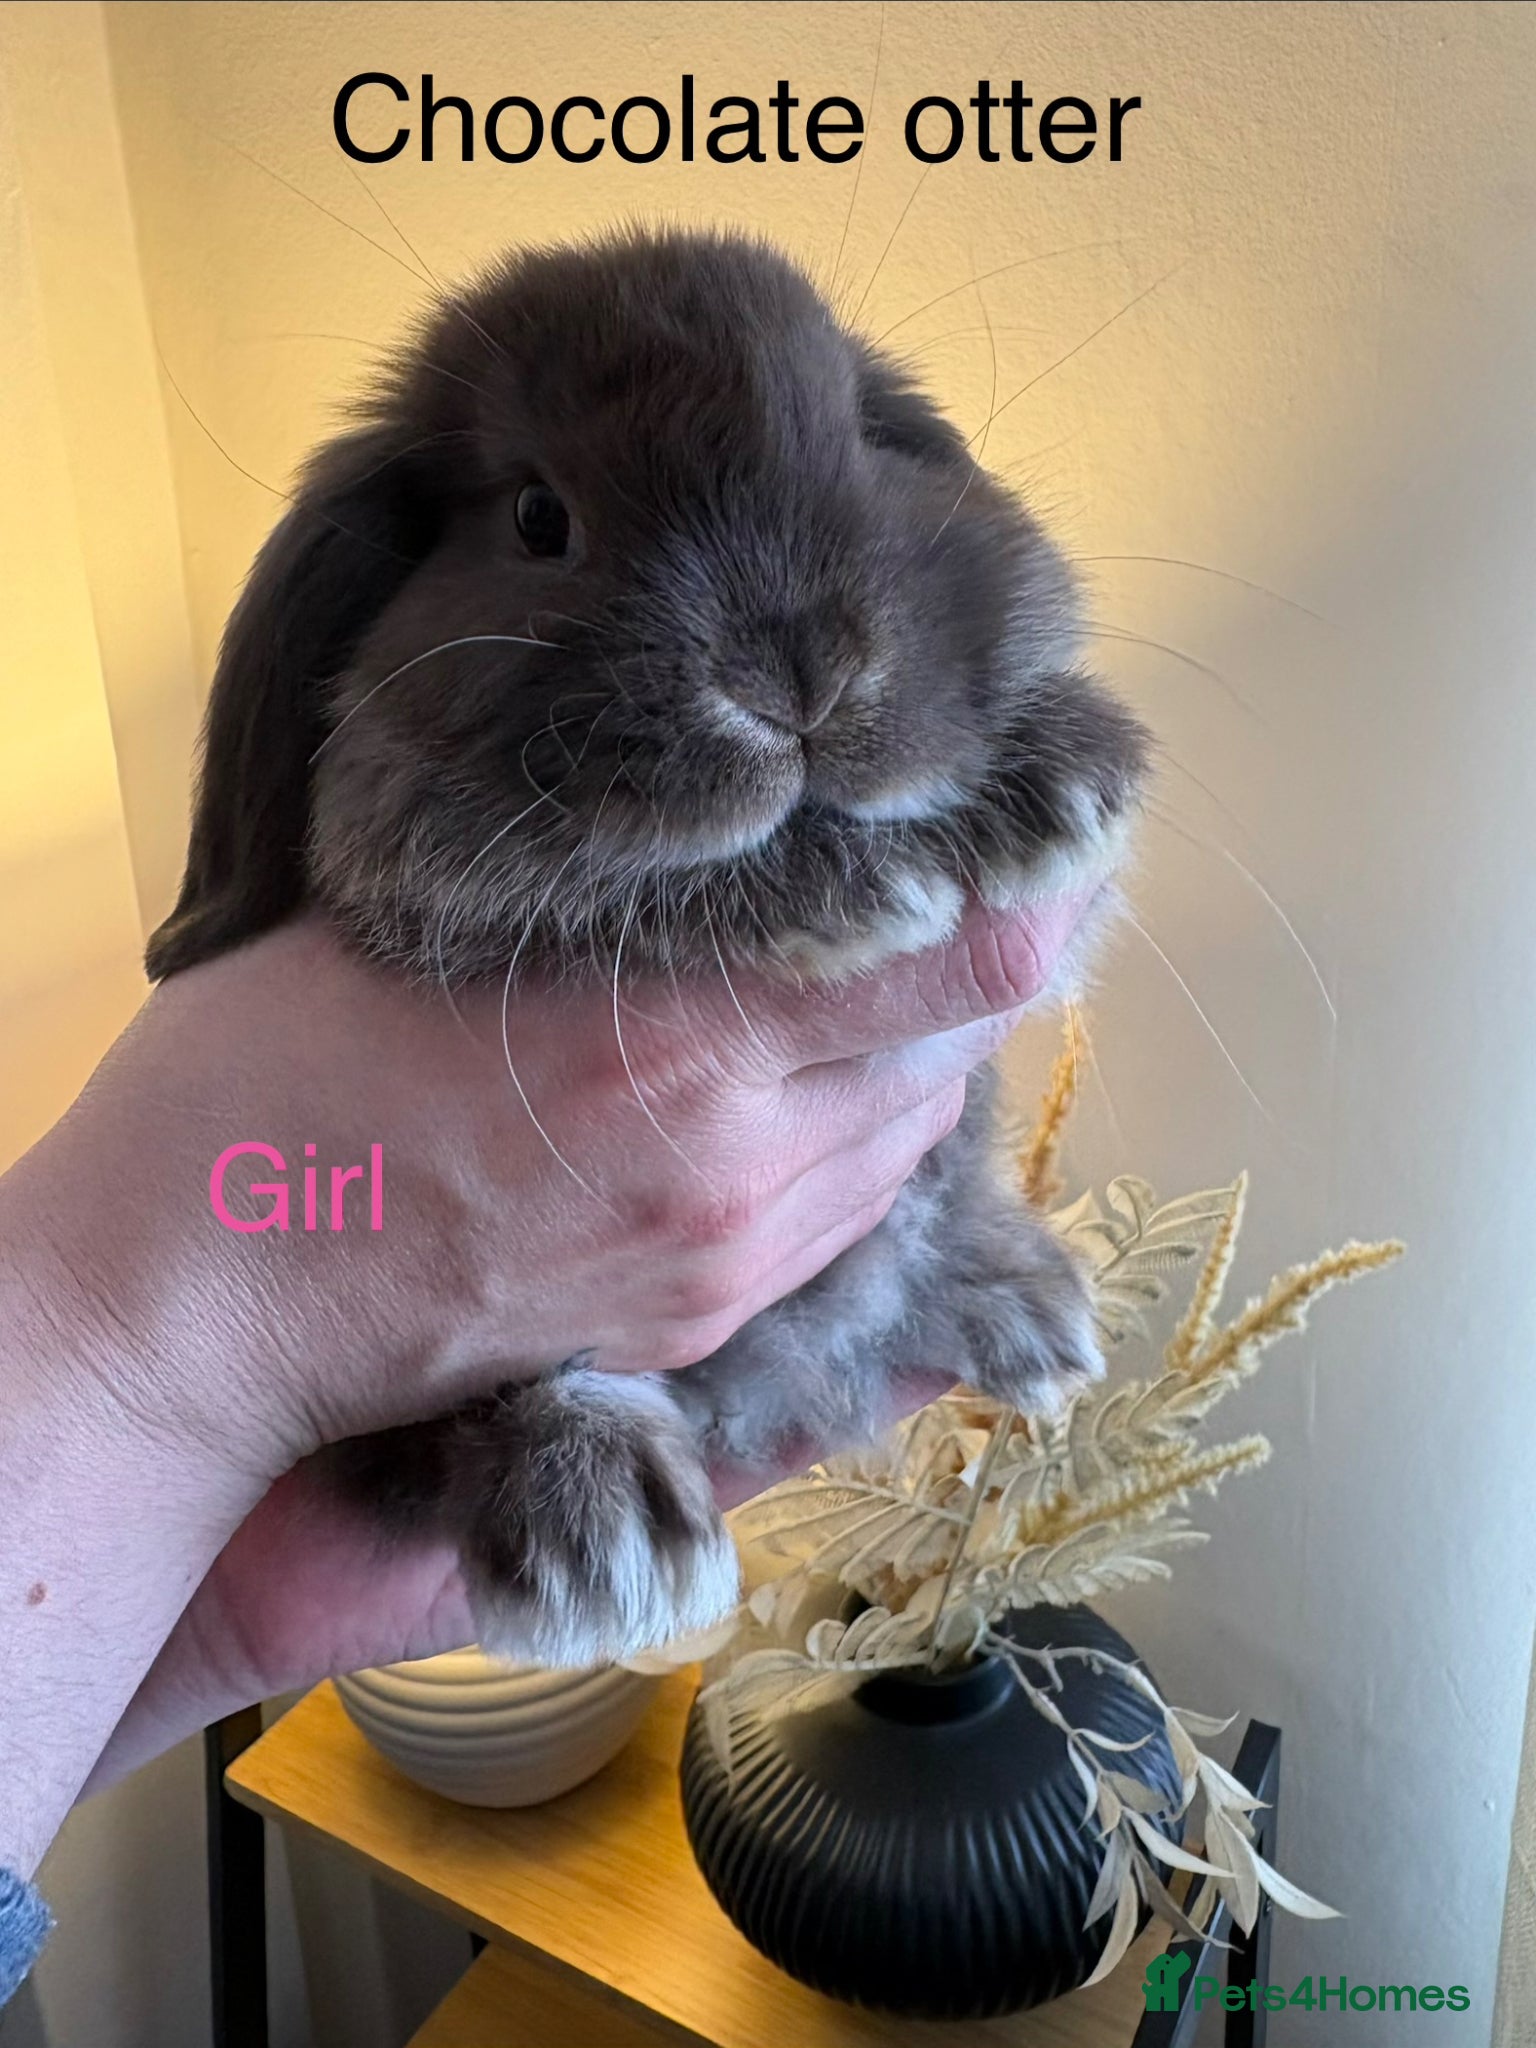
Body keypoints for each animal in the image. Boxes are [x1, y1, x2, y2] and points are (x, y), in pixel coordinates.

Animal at [147, 227, 1149, 1669]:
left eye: (860, 436)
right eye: (536, 518)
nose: (800, 670)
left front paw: (1059, 779)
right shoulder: (455, 890)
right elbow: (627, 897)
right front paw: (859, 886)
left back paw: (1021, 1298)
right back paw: (604, 1525)